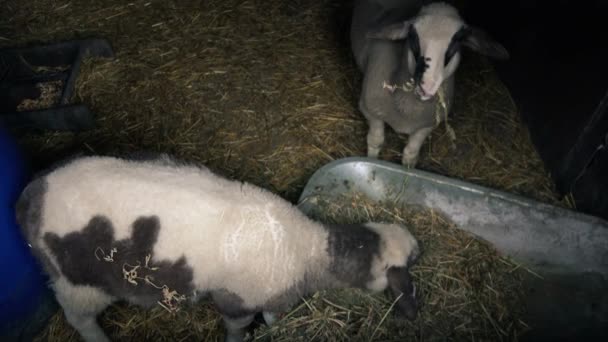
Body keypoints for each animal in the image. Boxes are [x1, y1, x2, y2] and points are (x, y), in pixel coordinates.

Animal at [16, 156, 420, 342]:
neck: (310, 249)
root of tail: (30, 196)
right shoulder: (236, 299)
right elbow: (237, 328)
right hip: (78, 281)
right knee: (79, 319)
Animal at [352, 0, 508, 166]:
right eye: (412, 36)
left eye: (458, 41)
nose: (426, 86)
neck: (408, 109)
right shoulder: (369, 110)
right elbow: (376, 141)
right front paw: (371, 159)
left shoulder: (427, 125)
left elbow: (411, 153)